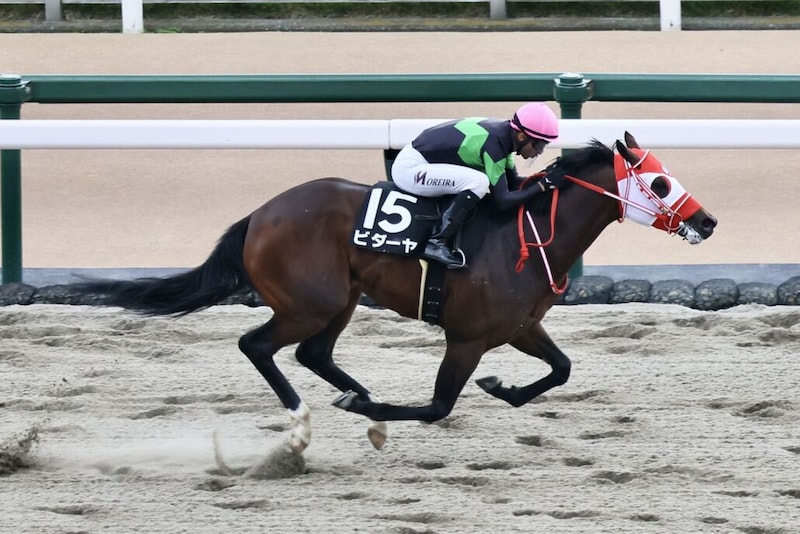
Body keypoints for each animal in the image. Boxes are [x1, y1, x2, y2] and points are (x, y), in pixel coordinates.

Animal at [73, 132, 717, 455]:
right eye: (661, 182)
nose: (707, 221)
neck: (531, 232)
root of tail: (259, 215)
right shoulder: (466, 337)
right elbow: (437, 407)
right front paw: (375, 412)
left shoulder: (519, 327)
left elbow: (560, 369)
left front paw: (502, 389)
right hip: (310, 302)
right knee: (258, 346)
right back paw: (308, 417)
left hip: (340, 299)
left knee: (312, 353)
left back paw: (351, 393)